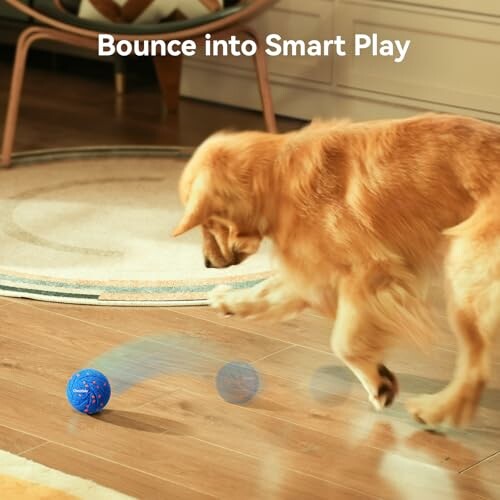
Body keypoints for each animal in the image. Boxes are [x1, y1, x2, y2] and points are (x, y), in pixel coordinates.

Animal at [173, 115, 500, 428]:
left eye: (207, 224)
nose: (206, 264)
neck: (277, 174)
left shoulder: (369, 271)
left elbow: (344, 341)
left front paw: (379, 384)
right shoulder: (315, 271)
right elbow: (265, 292)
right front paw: (227, 300)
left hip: (467, 277)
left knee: (475, 367)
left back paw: (435, 410)